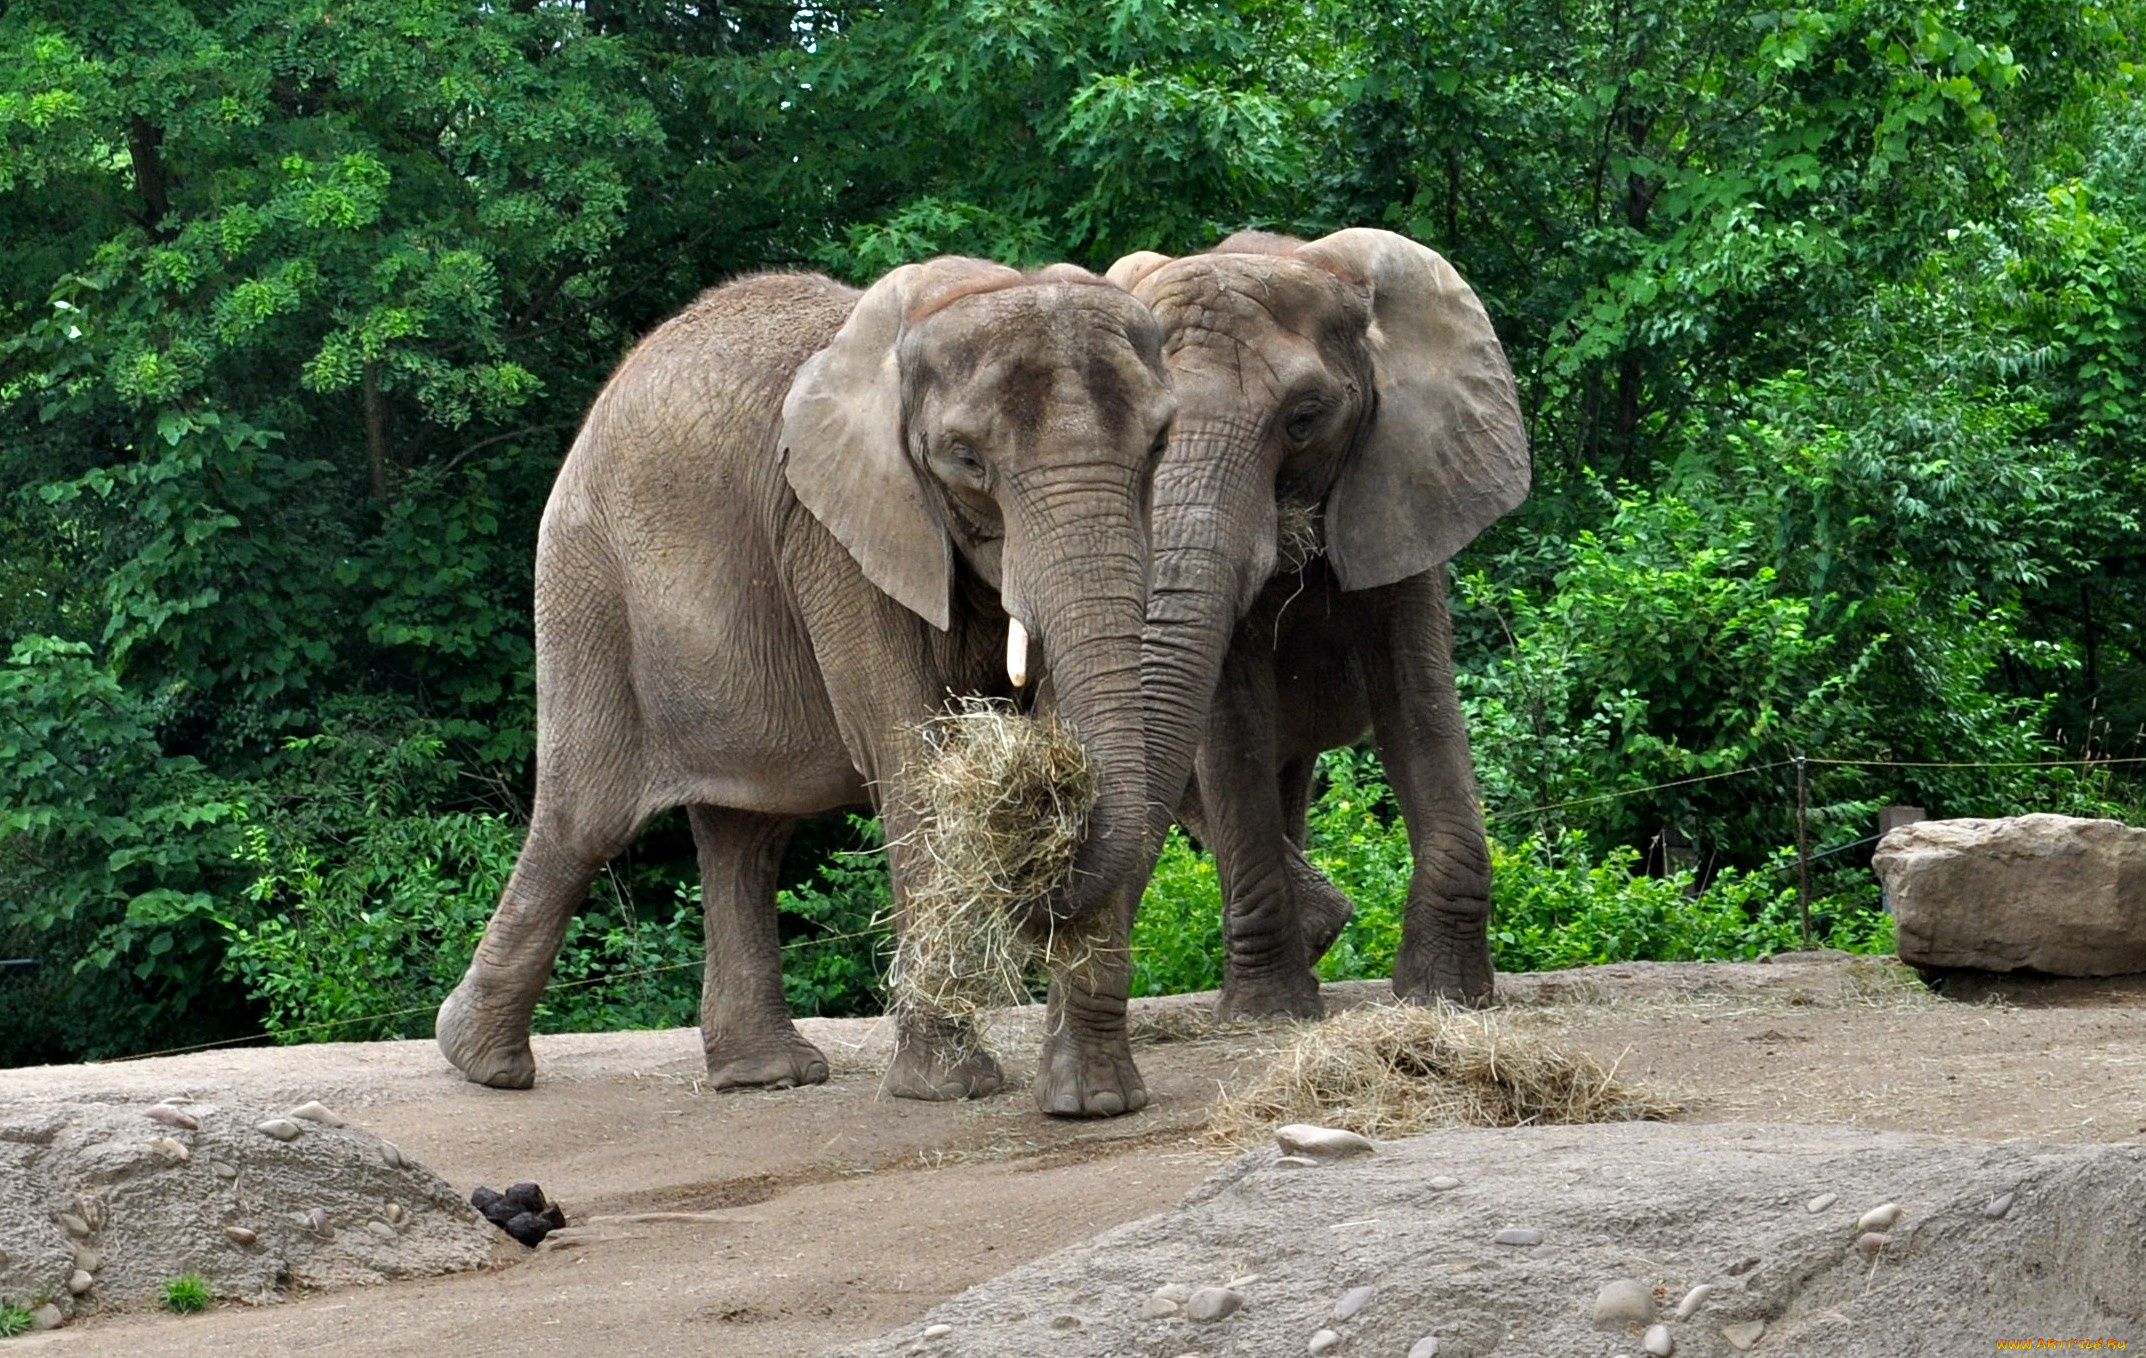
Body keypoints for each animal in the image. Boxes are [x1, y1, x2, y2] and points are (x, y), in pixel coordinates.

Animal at [433, 254, 1176, 1115]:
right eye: (965, 459)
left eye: (1160, 443)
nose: (1035, 866)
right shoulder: (834, 533)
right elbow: (907, 750)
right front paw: (949, 1090)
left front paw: (1094, 1103)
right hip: (586, 580)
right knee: (584, 822)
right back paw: (483, 1064)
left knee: (746, 837)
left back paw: (764, 1076)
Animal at [1115, 230, 1536, 1016]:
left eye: (1304, 418)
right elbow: (1229, 728)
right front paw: (1269, 1013)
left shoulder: (1404, 481)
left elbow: (1418, 705)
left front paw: (1444, 997)